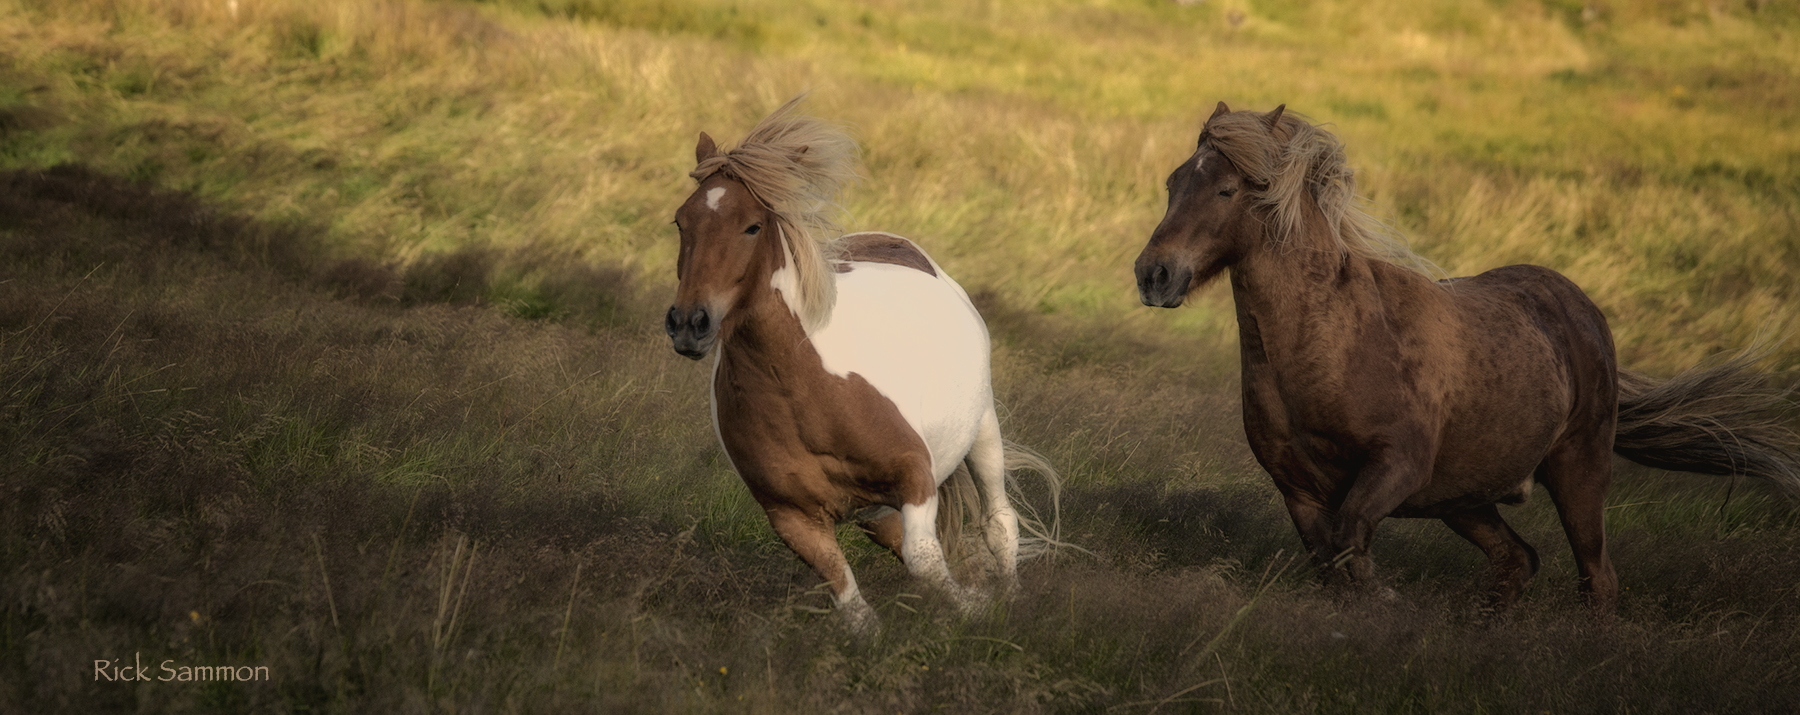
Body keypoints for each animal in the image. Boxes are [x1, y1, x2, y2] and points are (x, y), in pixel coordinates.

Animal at [669, 94, 1058, 630]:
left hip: (983, 427)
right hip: (875, 508)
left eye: (751, 225)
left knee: (999, 523)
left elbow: (925, 560)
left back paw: (1013, 599)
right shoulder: (792, 517)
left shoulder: (915, 476)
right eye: (680, 222)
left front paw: (977, 611)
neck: (804, 392)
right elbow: (852, 605)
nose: (689, 323)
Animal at [1137, 101, 1800, 612]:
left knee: (1597, 578)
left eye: (1226, 188)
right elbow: (1333, 563)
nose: (1154, 274)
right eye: (1172, 182)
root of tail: (1583, 310)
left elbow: (1352, 544)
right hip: (1463, 499)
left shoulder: (1395, 465)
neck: (1324, 346)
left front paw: (1387, 600)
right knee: (1518, 561)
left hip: (1577, 472)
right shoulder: (1298, 490)